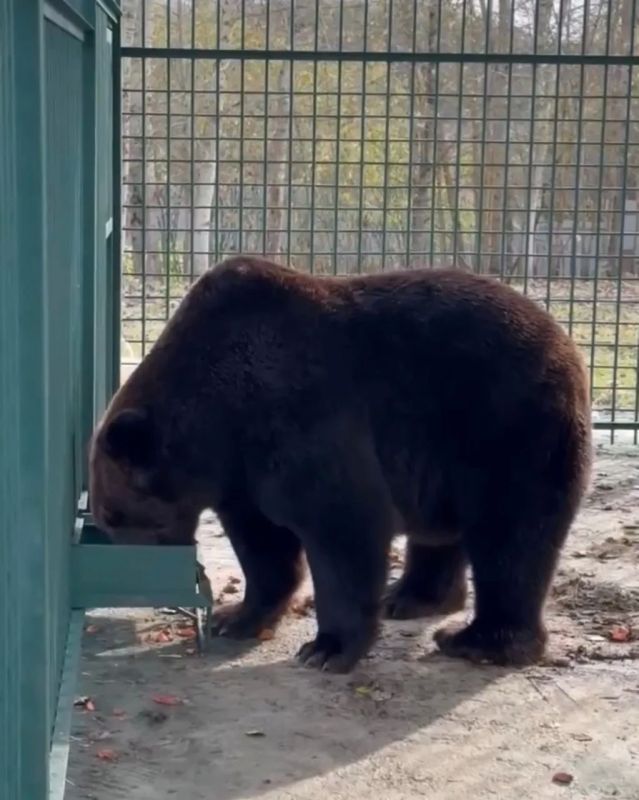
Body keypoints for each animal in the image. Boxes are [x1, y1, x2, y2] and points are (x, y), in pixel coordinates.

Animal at [89, 256, 592, 673]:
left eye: (114, 514)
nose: (138, 580)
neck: (219, 412)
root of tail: (566, 341)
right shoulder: (243, 473)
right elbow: (263, 543)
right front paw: (236, 617)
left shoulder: (302, 416)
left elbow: (343, 526)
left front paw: (325, 648)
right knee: (444, 530)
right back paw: (408, 597)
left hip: (507, 425)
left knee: (512, 536)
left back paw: (477, 639)